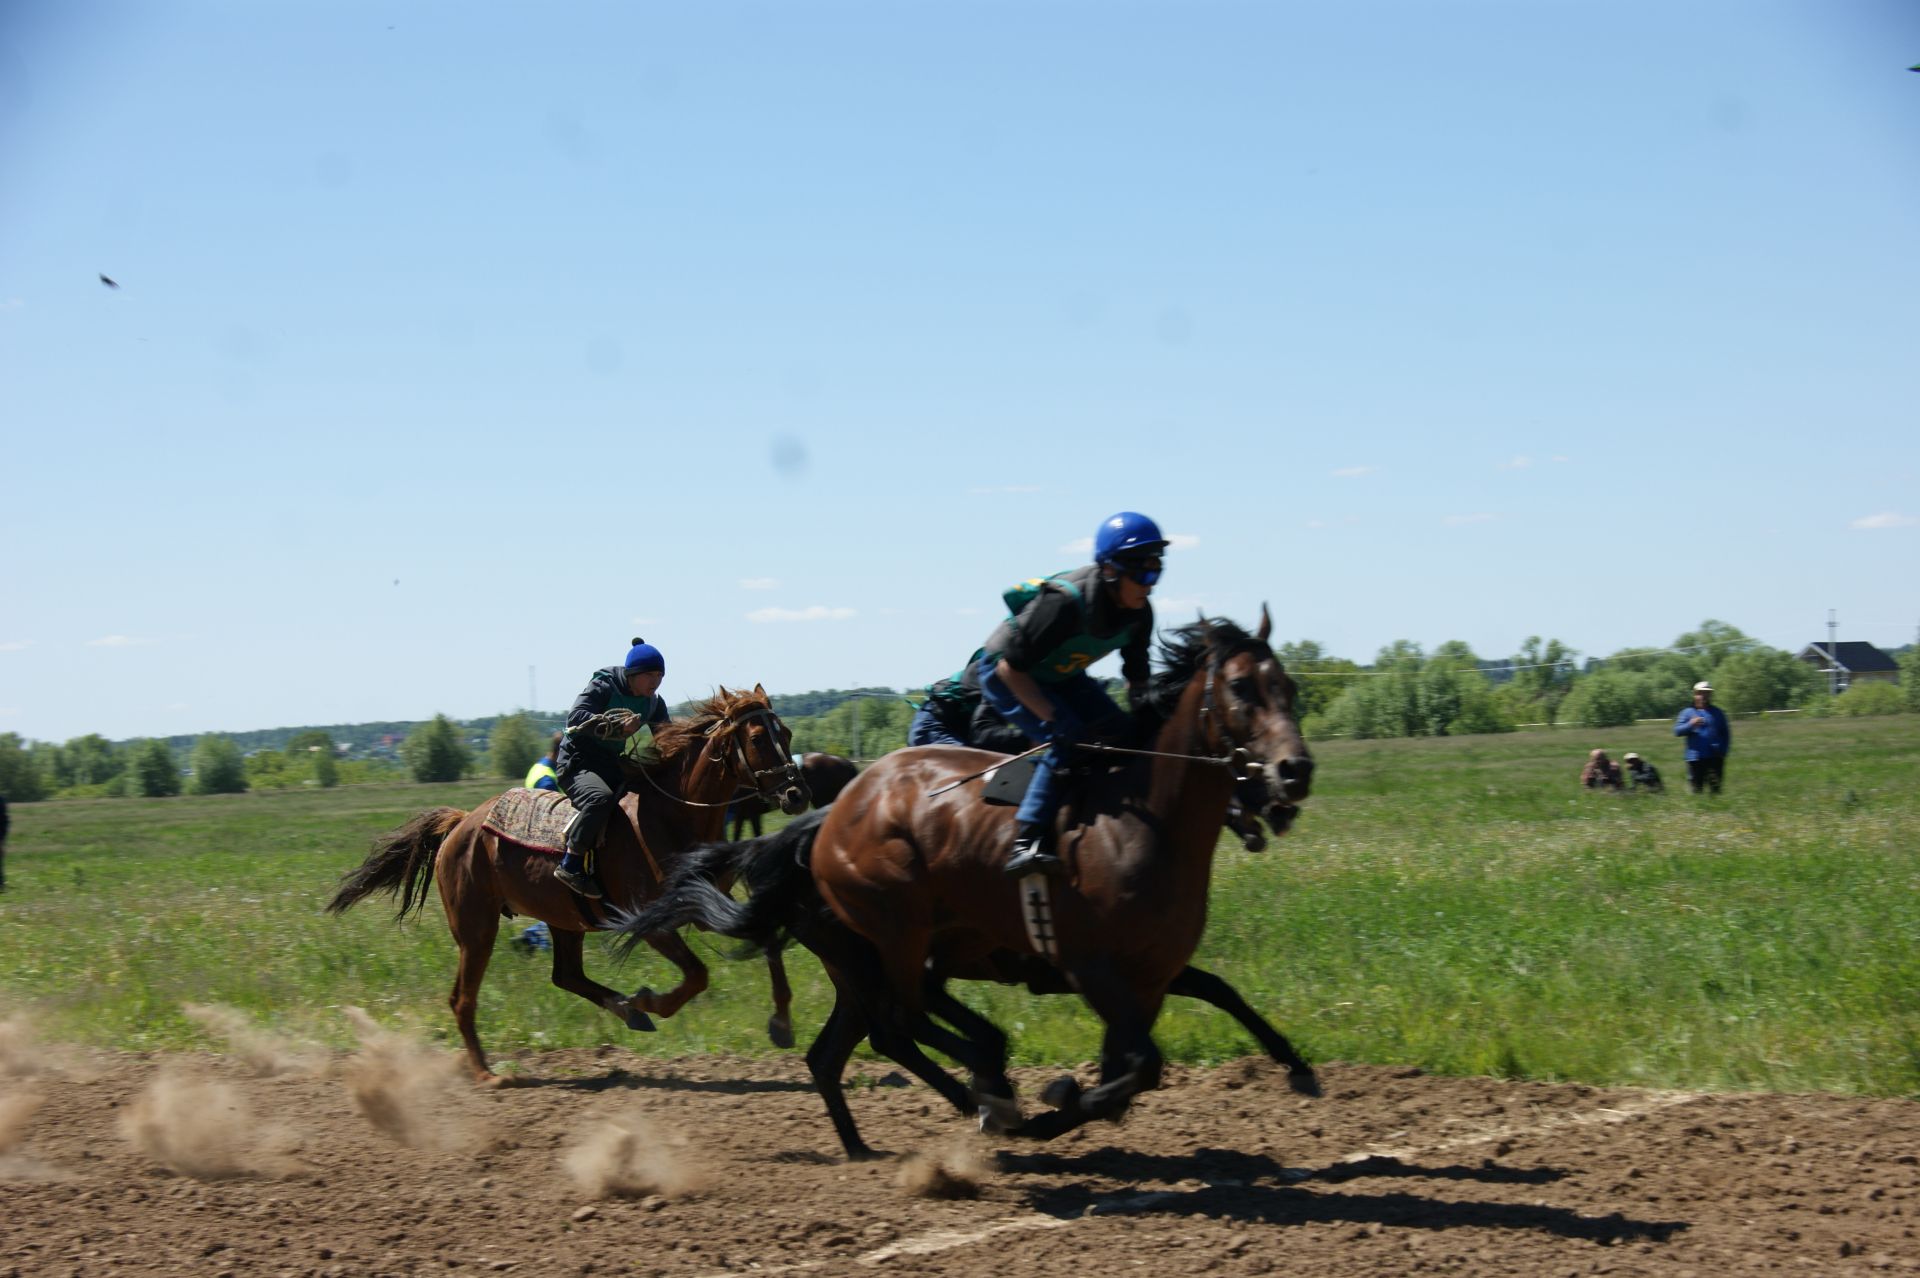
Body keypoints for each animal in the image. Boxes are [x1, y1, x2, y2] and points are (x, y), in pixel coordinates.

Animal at [326, 683, 806, 1082]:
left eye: (786, 733)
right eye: (758, 739)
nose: (797, 793)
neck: (671, 817)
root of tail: (462, 823)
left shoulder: (709, 908)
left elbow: (764, 940)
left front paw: (782, 1023)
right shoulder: (654, 924)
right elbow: (697, 976)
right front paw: (649, 1001)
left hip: (562, 921)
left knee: (566, 975)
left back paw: (625, 1010)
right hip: (476, 929)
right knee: (463, 999)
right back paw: (486, 1073)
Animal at [622, 606, 1313, 1151]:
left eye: (1289, 687)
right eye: (1242, 688)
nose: (1292, 775)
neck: (1139, 822)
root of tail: (821, 830)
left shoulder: (1148, 971)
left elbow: (1211, 997)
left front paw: (1296, 1064)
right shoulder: (1091, 967)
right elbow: (1139, 1063)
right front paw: (1057, 1101)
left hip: (861, 966)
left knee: (841, 1049)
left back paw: (875, 1141)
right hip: (887, 941)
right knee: (898, 1023)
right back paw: (987, 1090)